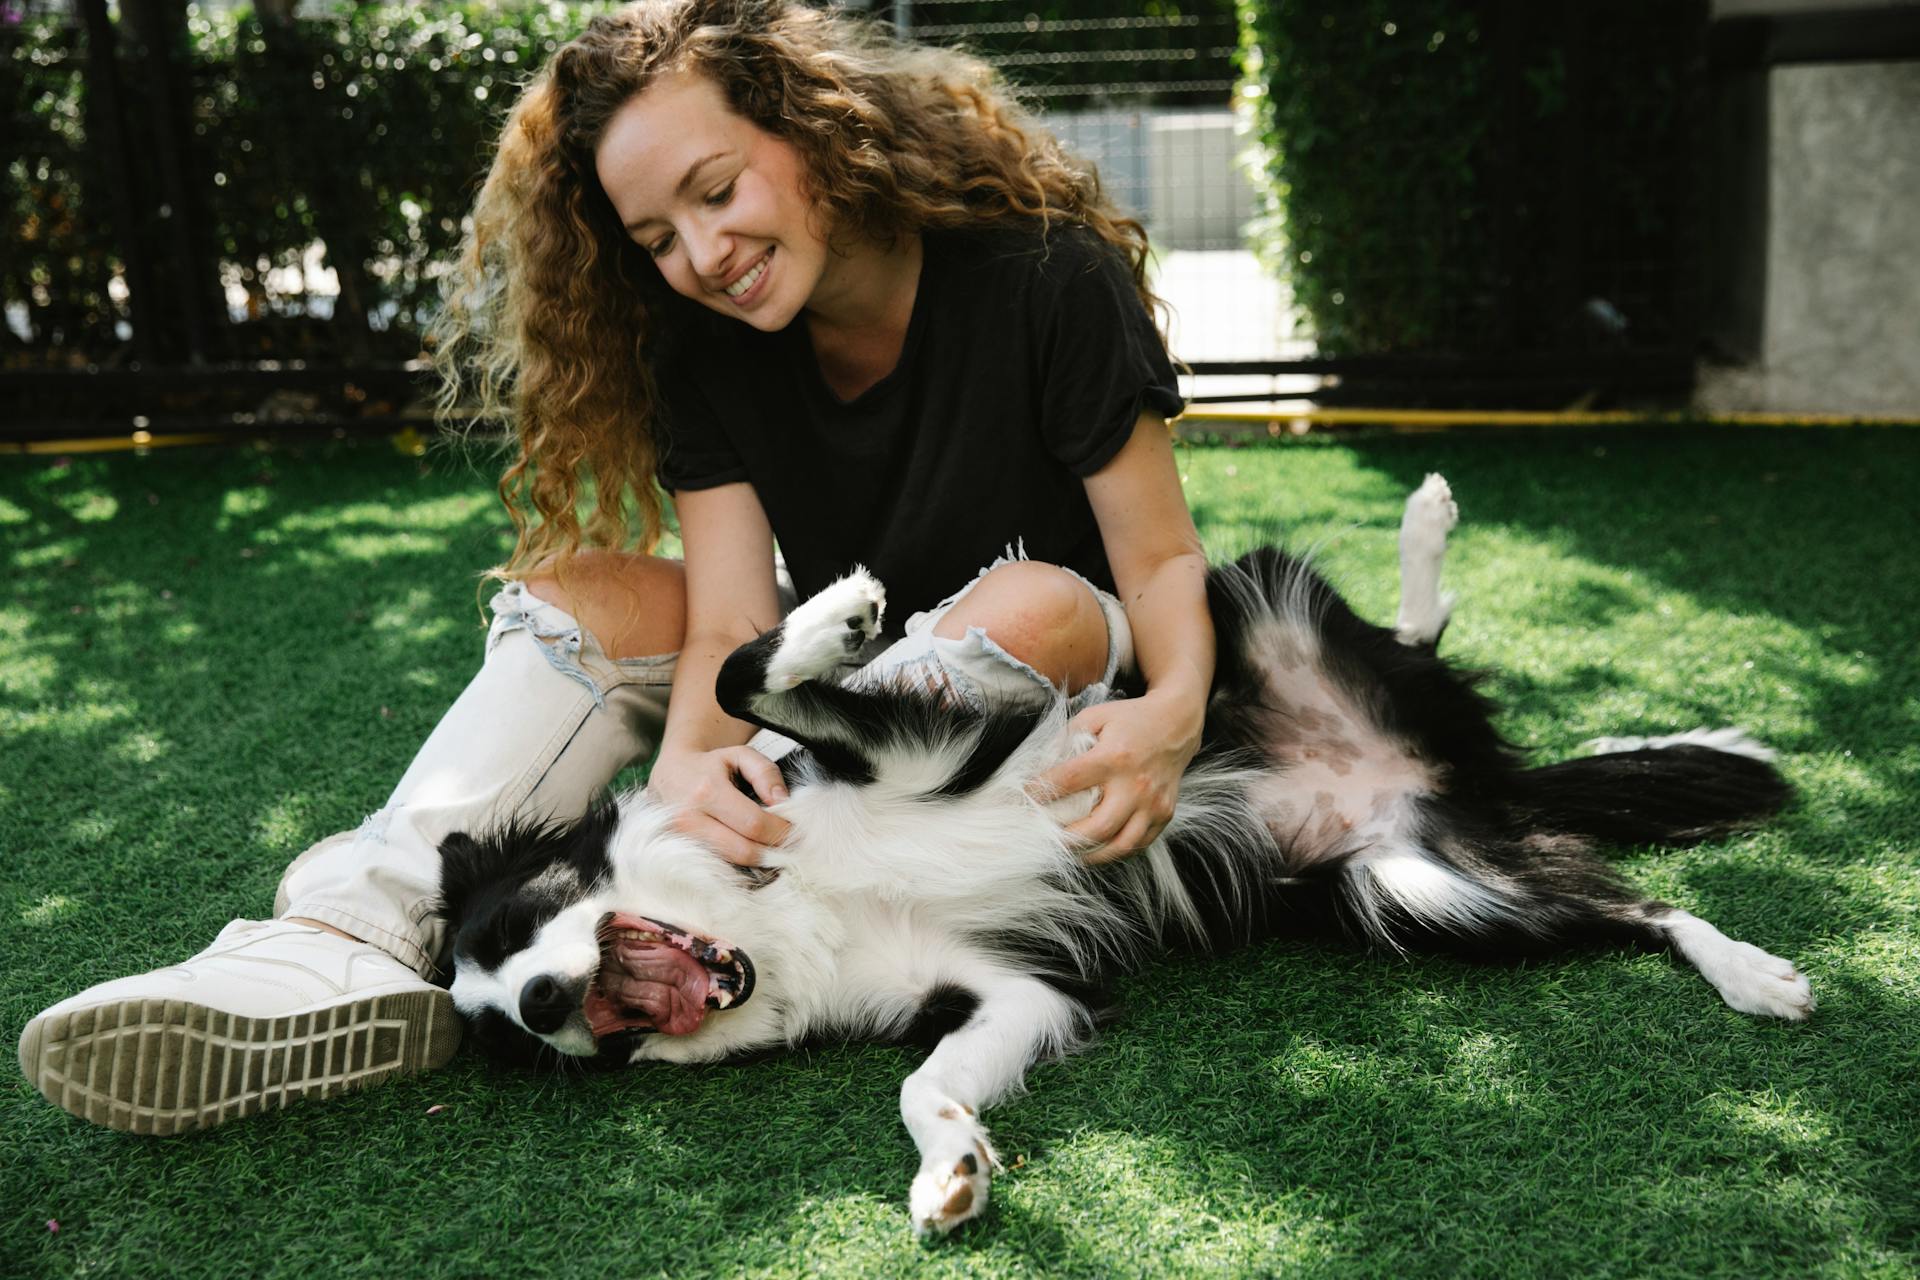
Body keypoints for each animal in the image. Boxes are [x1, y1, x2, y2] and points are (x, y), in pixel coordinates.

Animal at [439, 475, 1812, 1235]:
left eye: (517, 924)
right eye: (521, 1037)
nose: (550, 1003)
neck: (780, 913)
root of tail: (1465, 775)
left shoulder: (917, 746)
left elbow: (742, 674)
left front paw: (838, 610)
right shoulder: (1009, 989)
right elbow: (922, 1083)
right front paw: (952, 1172)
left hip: (1248, 602)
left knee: (1412, 646)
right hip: (1422, 884)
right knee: (1624, 902)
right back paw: (1751, 970)